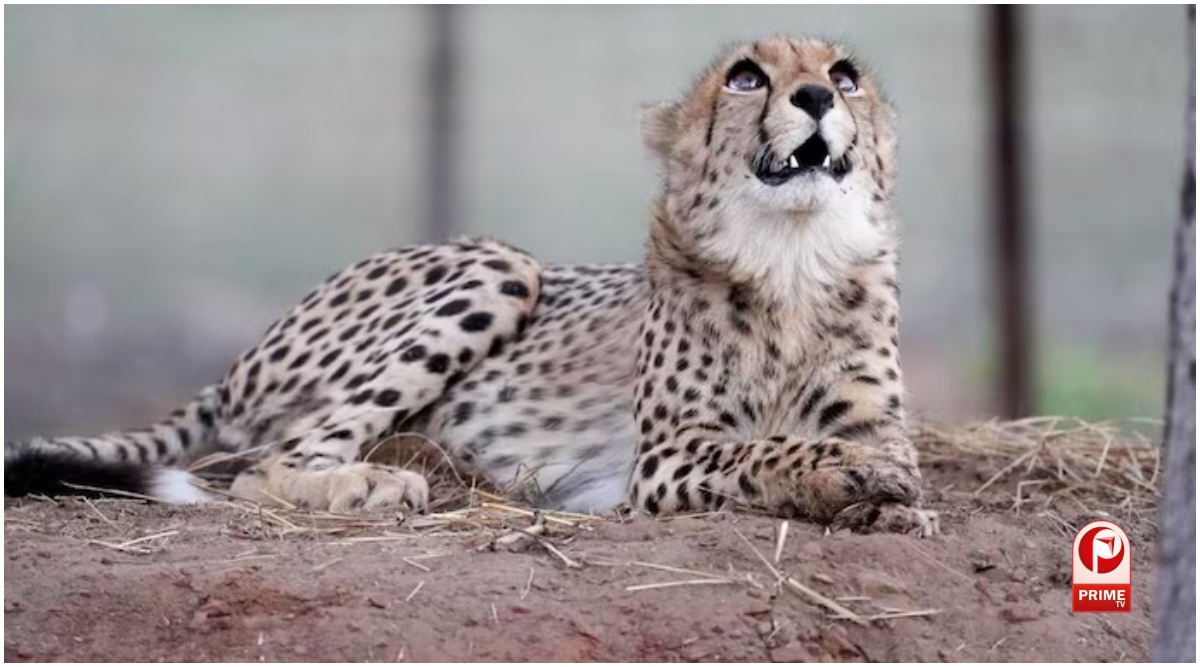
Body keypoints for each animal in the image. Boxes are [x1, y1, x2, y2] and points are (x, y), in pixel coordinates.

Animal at [5, 36, 936, 535]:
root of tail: (237, 365)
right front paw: (849, 477)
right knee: (267, 463)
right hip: (501, 265)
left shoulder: (874, 422)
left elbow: (883, 467)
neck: (793, 257)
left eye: (845, 74)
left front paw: (887, 501)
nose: (815, 95)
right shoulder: (665, 457)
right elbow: (771, 447)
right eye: (747, 76)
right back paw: (369, 481)